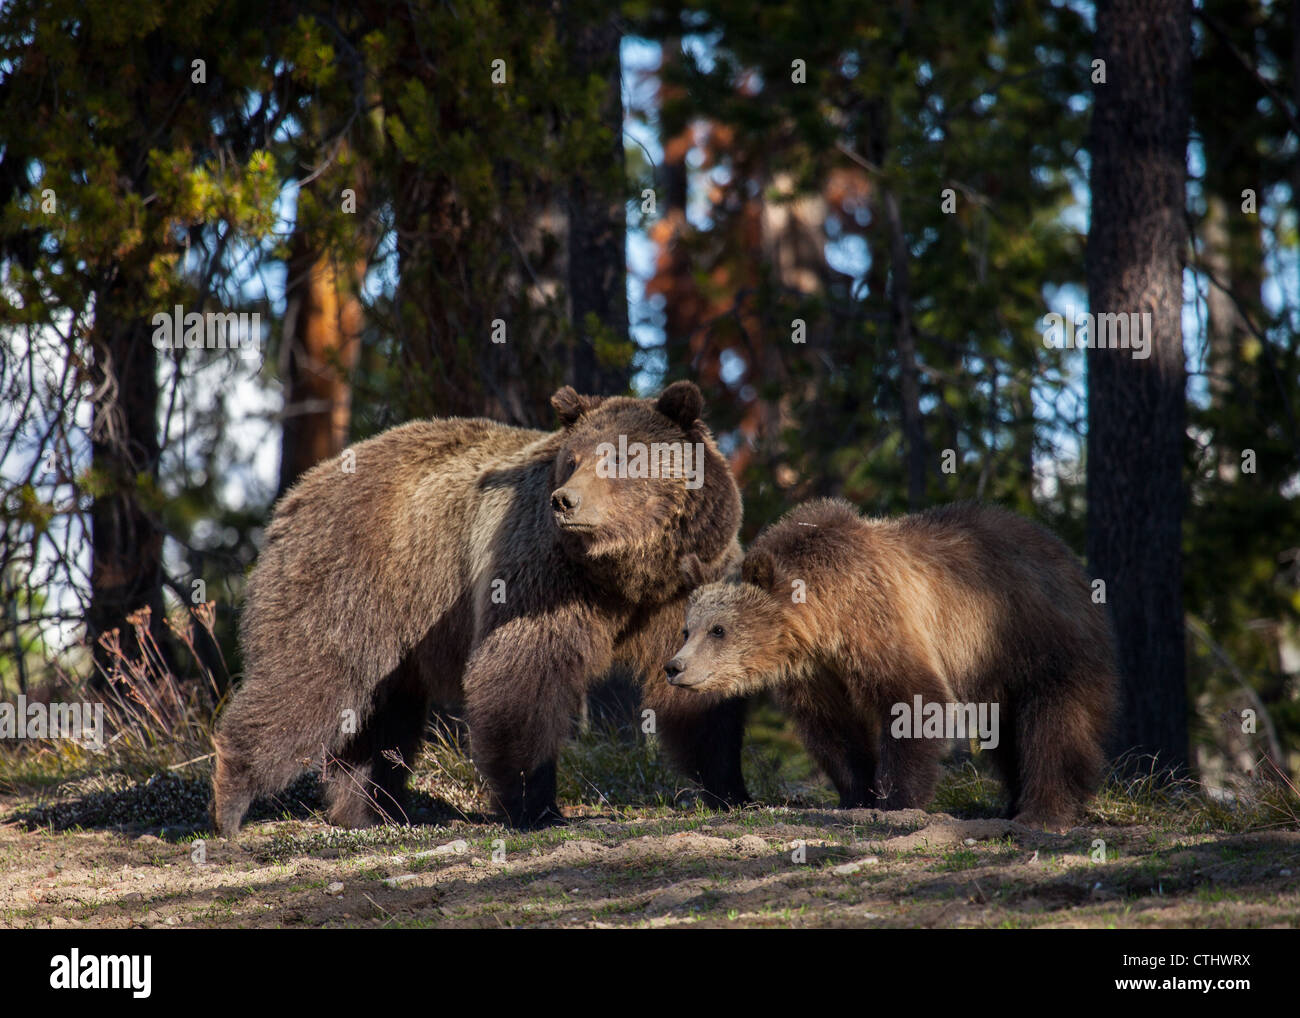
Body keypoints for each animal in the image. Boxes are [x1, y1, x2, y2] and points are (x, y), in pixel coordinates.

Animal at [211, 381, 749, 834]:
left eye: (619, 457)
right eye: (573, 459)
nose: (565, 501)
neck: (629, 576)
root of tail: (298, 491)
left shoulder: (686, 591)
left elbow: (701, 685)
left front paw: (731, 789)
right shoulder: (540, 575)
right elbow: (523, 678)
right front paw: (537, 806)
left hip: (396, 630)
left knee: (380, 720)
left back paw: (369, 810)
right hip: (350, 583)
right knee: (307, 681)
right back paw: (231, 802)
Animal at [664, 498, 1118, 831]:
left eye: (718, 629)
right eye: (687, 629)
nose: (675, 667)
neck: (824, 618)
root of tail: (1063, 552)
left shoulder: (877, 620)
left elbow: (912, 700)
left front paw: (898, 801)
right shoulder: (817, 671)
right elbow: (833, 729)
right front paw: (855, 796)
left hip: (1036, 637)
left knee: (1055, 723)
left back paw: (1044, 810)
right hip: (998, 668)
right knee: (1007, 736)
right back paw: (1013, 802)